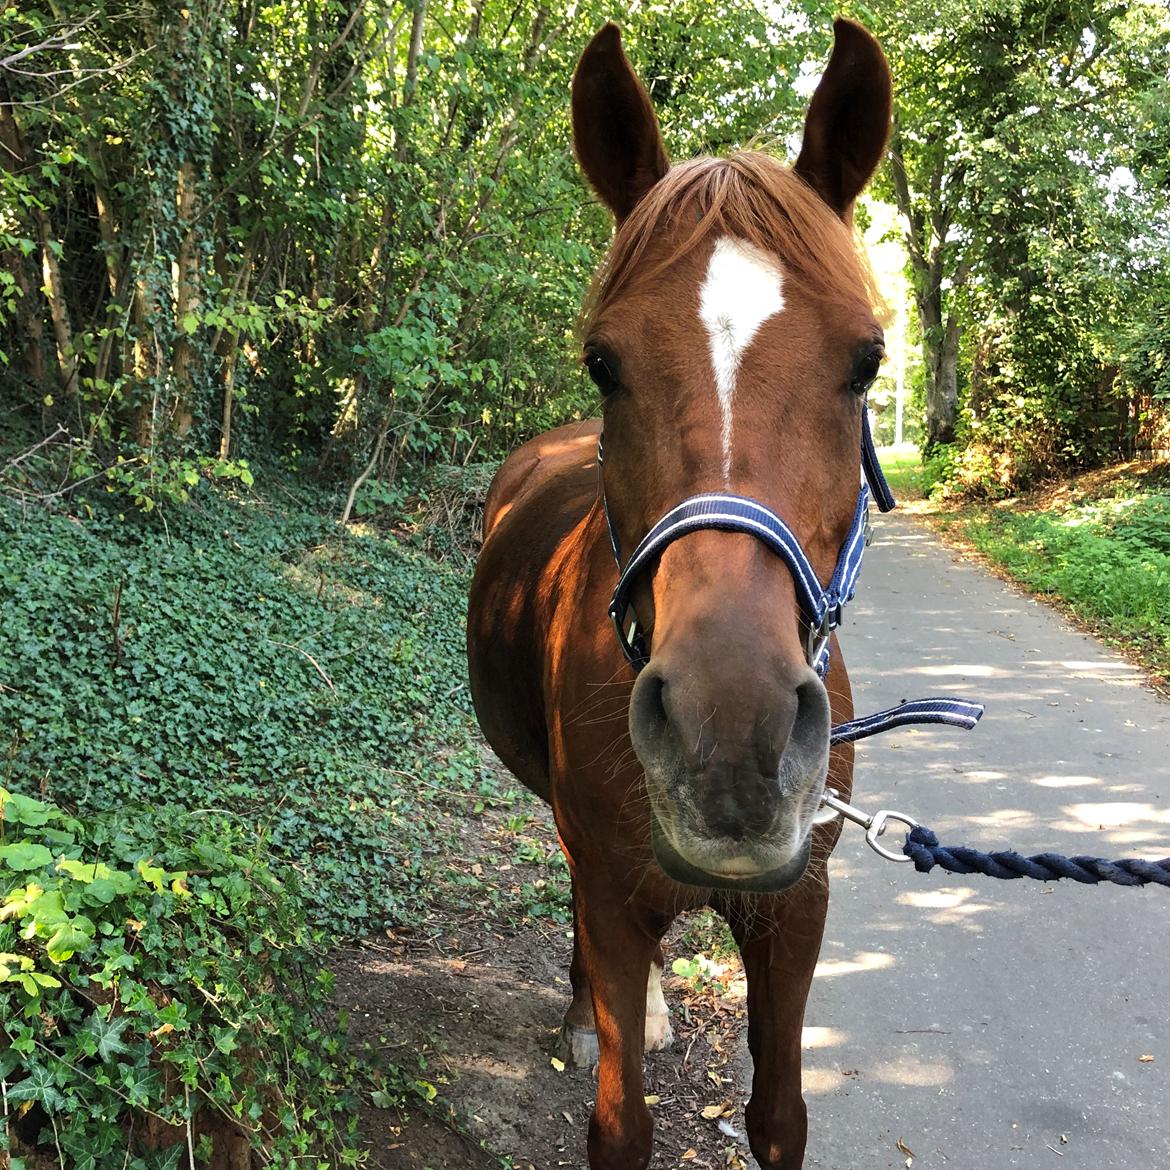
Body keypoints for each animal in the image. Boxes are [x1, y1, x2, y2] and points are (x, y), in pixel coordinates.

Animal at [465, 18, 893, 1170]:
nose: (729, 737)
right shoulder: (615, 892)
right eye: (602, 363)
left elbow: (779, 1120)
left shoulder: (797, 911)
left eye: (868, 362)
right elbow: (619, 1123)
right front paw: (605, 1019)